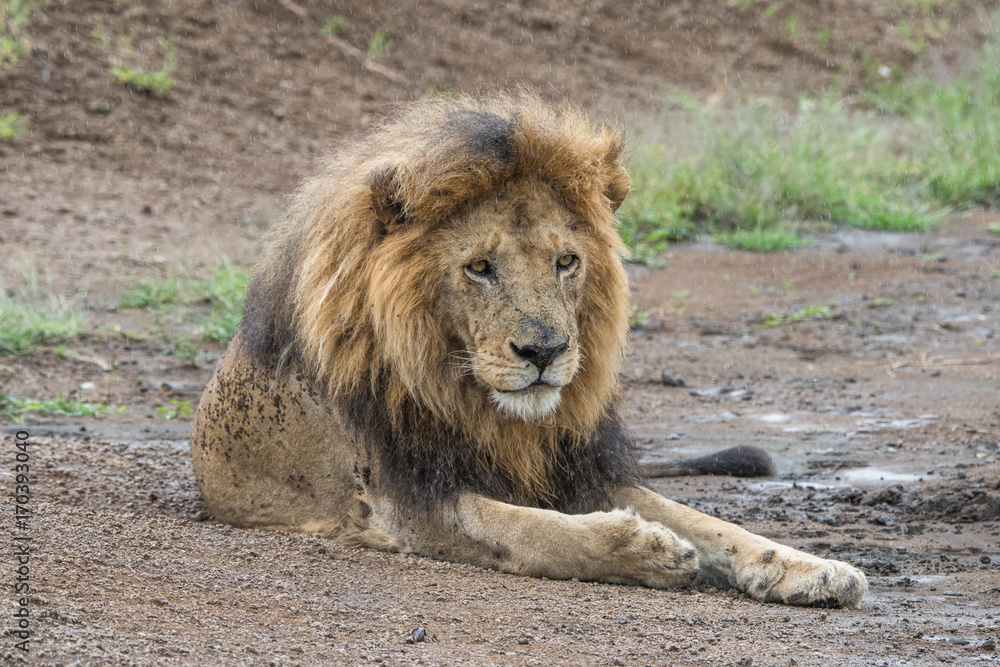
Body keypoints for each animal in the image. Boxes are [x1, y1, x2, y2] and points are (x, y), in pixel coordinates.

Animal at [191, 92, 867, 608]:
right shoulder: (402, 502)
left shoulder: (578, 467)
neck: (490, 413)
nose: (544, 352)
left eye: (565, 262)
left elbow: (709, 522)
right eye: (479, 267)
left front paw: (810, 567)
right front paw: (644, 549)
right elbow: (530, 530)